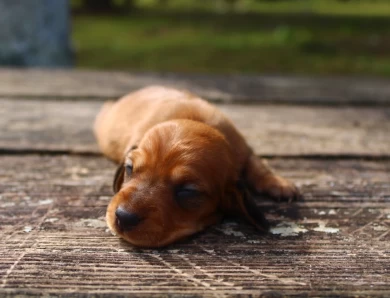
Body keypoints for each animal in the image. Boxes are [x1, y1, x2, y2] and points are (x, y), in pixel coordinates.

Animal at [93, 85, 300, 247]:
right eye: (129, 168)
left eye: (188, 191)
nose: (123, 217)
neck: (196, 120)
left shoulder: (244, 150)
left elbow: (258, 165)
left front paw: (279, 183)